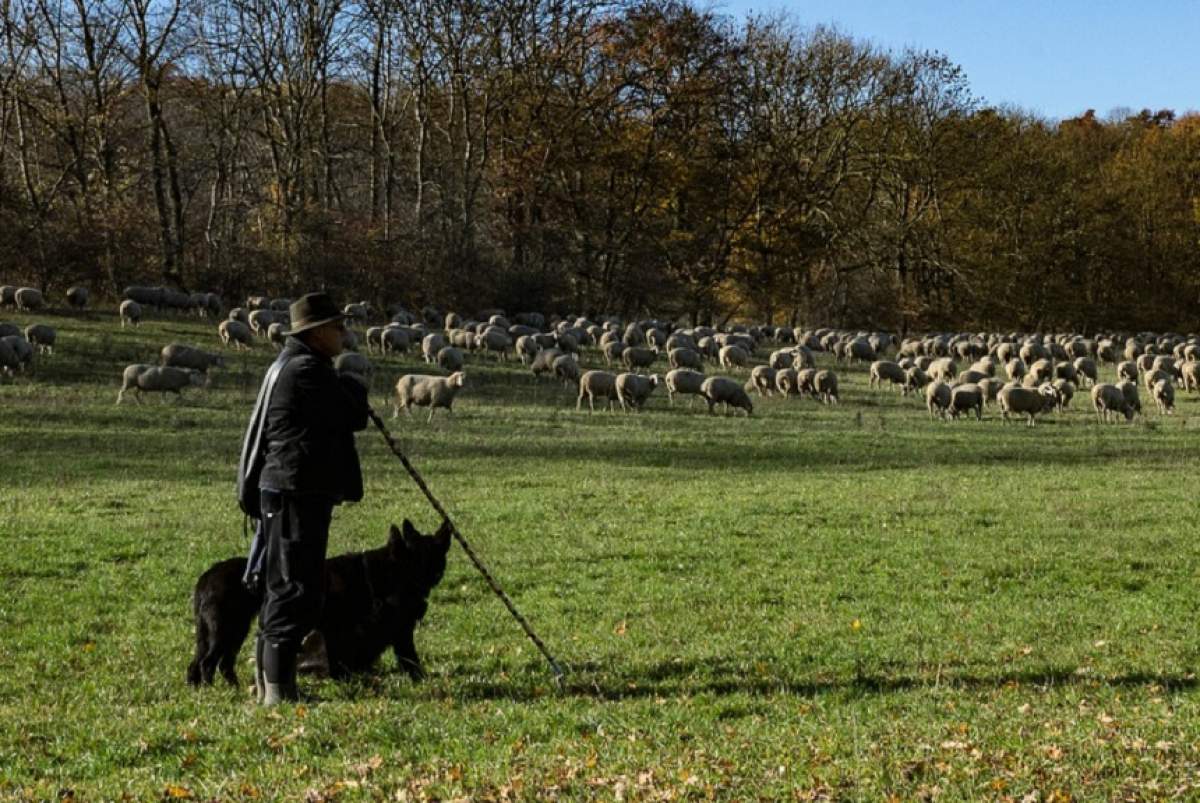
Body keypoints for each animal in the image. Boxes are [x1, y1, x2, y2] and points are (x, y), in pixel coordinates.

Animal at [187, 520, 453, 681]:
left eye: (437, 558)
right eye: (416, 561)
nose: (422, 601)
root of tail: (206, 577)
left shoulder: (396, 632)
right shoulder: (342, 630)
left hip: (233, 631)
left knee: (213, 663)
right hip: (225, 630)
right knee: (208, 663)